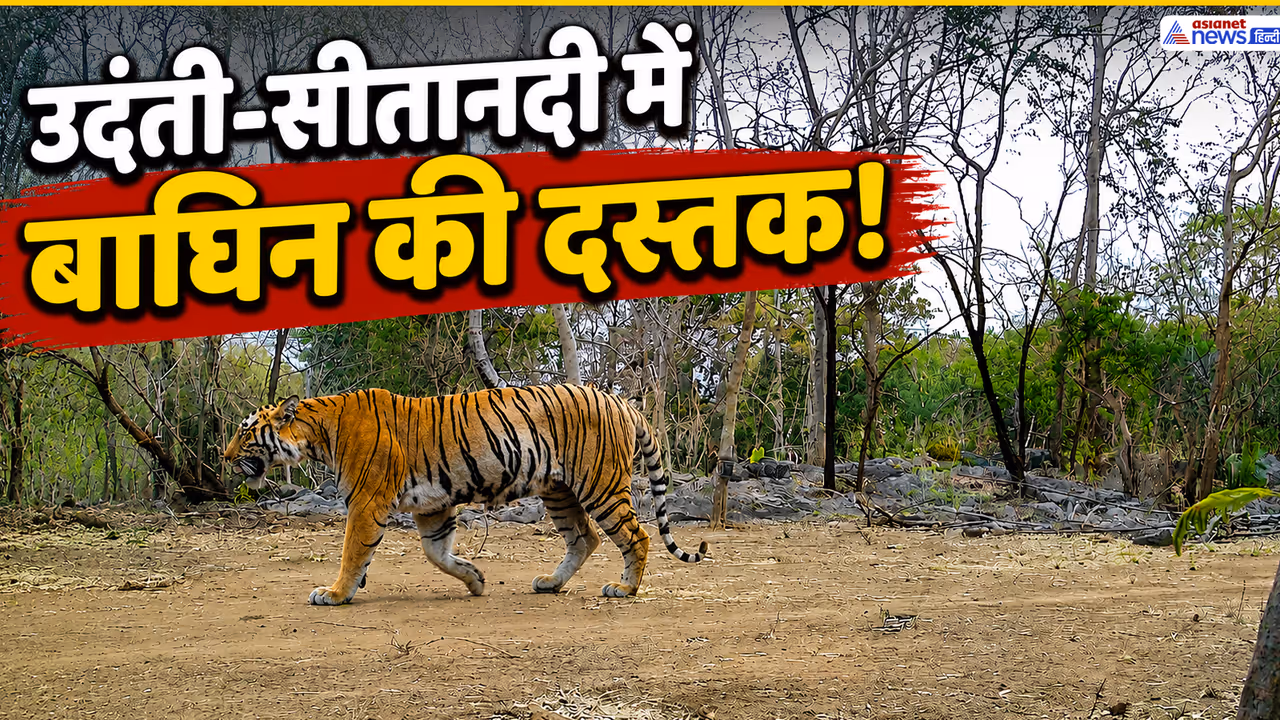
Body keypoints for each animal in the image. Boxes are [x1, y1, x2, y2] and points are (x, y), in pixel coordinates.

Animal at [222, 383, 708, 605]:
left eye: (245, 433)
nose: (224, 457)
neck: (319, 432)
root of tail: (618, 399)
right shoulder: (432, 507)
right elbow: (437, 554)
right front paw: (475, 579)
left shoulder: (366, 500)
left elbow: (352, 551)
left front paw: (336, 592)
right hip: (559, 491)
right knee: (583, 538)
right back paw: (551, 583)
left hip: (599, 484)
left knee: (635, 536)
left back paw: (624, 588)